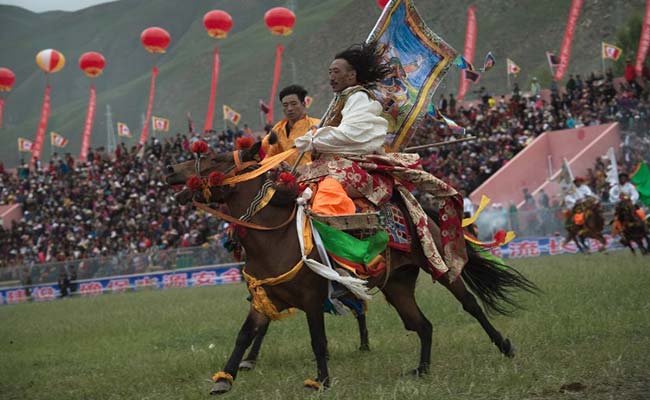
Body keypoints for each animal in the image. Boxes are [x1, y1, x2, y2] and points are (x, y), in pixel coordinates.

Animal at [167, 143, 536, 394]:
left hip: (441, 267)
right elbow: (245, 335)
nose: (170, 170)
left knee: (470, 304)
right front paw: (224, 379)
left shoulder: (312, 298)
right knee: (422, 325)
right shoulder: (263, 298)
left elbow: (318, 341)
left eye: (216, 158)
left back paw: (505, 346)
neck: (274, 237)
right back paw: (422, 369)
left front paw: (321, 381)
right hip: (397, 286)